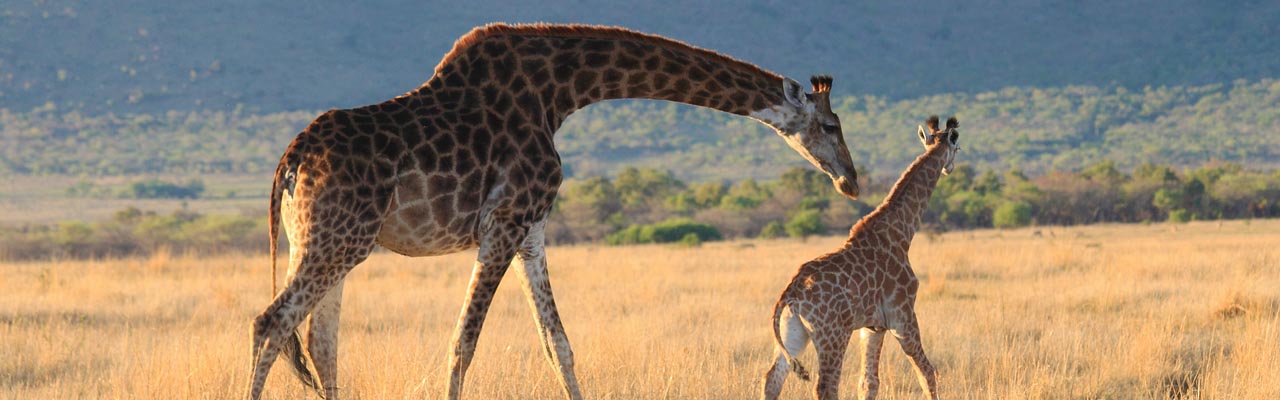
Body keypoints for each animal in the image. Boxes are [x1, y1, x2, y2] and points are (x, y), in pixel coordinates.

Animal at [247, 22, 860, 400]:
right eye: (831, 125)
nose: (850, 181)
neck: (559, 93)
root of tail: (292, 157)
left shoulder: (532, 230)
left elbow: (557, 344)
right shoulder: (504, 222)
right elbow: (463, 343)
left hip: (328, 241)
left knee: (320, 343)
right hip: (338, 239)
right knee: (271, 323)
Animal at [757, 115, 962, 400]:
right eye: (958, 147)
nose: (949, 168)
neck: (901, 232)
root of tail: (790, 295)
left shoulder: (872, 326)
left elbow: (869, 383)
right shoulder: (902, 316)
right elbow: (928, 373)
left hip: (794, 333)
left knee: (772, 378)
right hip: (832, 335)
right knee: (825, 386)